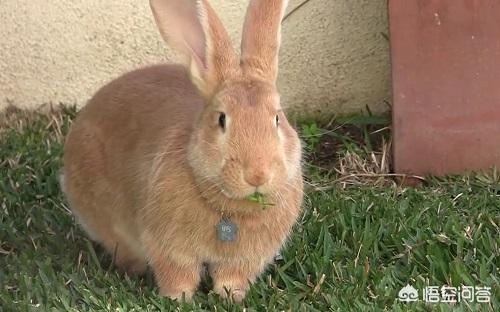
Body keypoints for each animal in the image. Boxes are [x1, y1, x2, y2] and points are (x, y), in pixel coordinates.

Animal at [60, 0, 302, 302]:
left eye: (278, 118)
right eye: (221, 119)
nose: (257, 174)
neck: (229, 211)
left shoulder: (245, 259)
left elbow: (231, 277)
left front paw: (230, 297)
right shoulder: (168, 246)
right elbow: (177, 274)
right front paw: (179, 299)